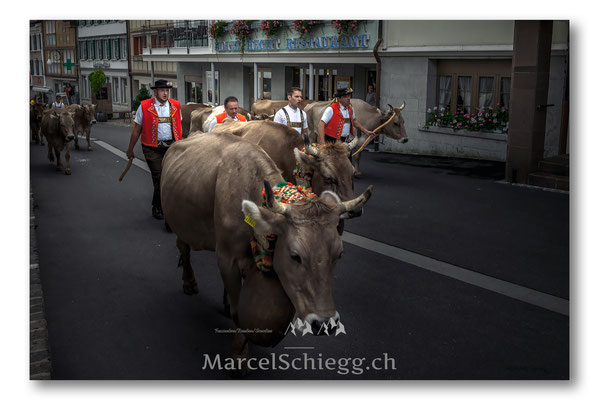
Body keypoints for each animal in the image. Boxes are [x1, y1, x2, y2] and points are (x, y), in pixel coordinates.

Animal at [162, 132, 372, 372]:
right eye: (295, 256)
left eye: (338, 254)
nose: (325, 323)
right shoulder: (226, 259)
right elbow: (238, 313)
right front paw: (239, 358)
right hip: (181, 224)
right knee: (184, 249)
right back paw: (189, 282)